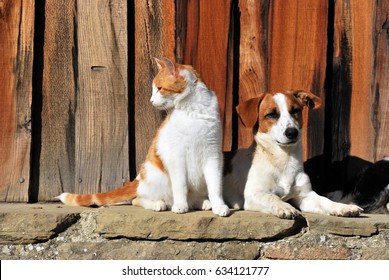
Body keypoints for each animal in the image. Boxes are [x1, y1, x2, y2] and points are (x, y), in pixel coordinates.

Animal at [56, 57, 229, 217]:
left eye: (159, 88)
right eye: (154, 89)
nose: (151, 100)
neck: (192, 109)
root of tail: (138, 178)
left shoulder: (213, 155)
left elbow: (215, 186)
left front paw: (219, 206)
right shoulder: (176, 156)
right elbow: (180, 185)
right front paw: (180, 205)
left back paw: (204, 202)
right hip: (157, 176)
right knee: (137, 199)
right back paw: (158, 204)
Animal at [223, 89, 362, 219]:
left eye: (295, 110)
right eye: (271, 114)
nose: (292, 132)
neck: (283, 160)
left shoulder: (306, 196)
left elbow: (325, 200)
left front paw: (343, 207)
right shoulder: (254, 194)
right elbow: (273, 198)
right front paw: (285, 207)